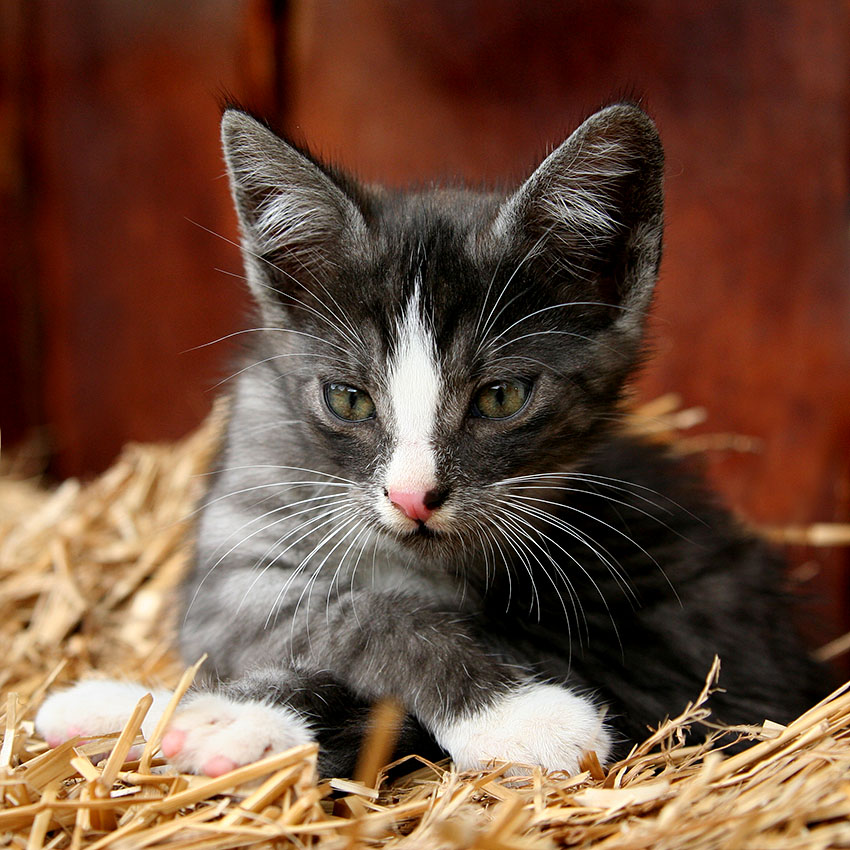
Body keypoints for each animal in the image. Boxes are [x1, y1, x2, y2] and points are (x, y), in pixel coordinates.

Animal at [38, 104, 820, 776]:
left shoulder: (681, 638)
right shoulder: (242, 544)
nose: (413, 496)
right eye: (347, 399)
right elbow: (352, 615)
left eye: (501, 397)